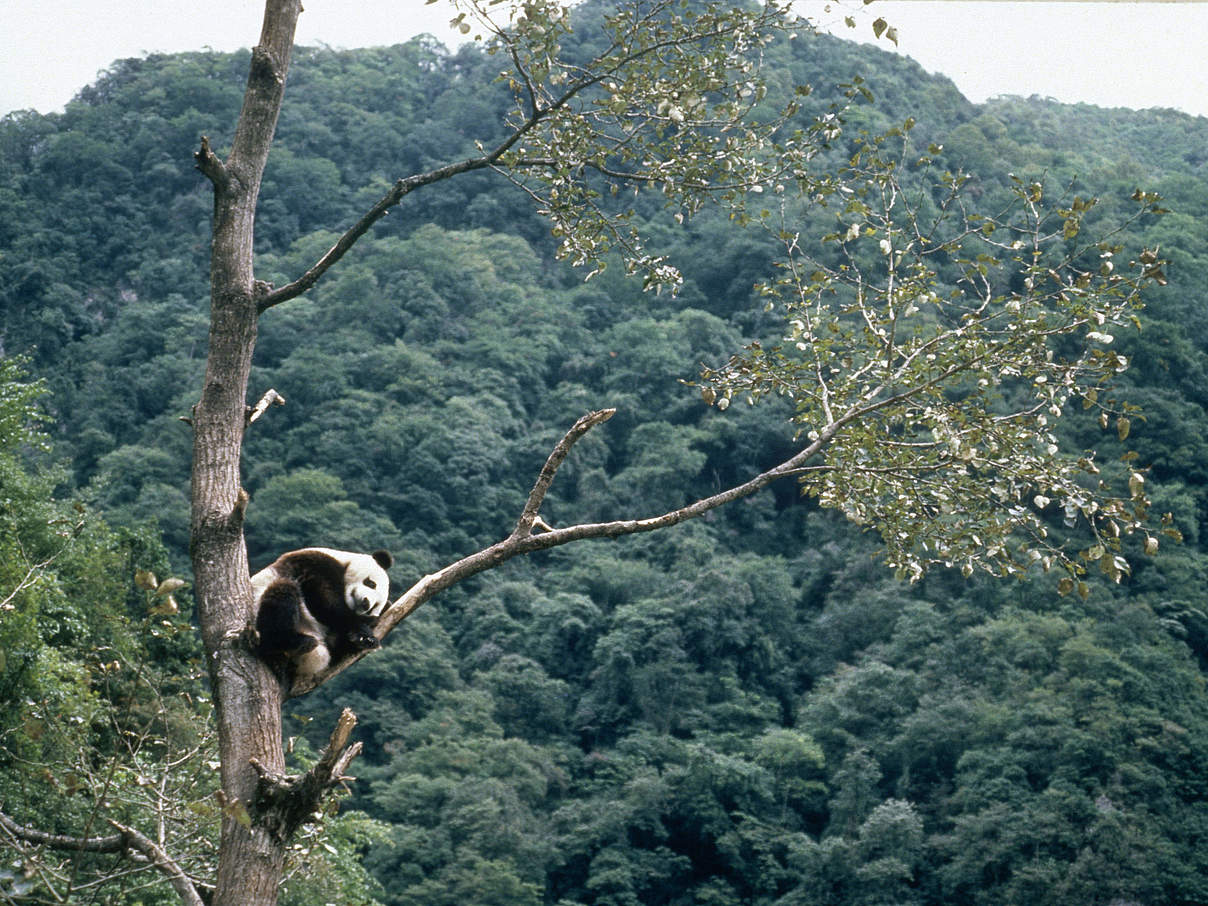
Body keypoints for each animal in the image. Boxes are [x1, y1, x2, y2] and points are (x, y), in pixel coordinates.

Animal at [252, 550, 393, 686]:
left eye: (374, 607)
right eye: (371, 583)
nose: (366, 604)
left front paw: (366, 636)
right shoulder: (313, 563)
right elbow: (324, 601)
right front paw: (365, 632)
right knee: (283, 591)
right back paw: (295, 642)